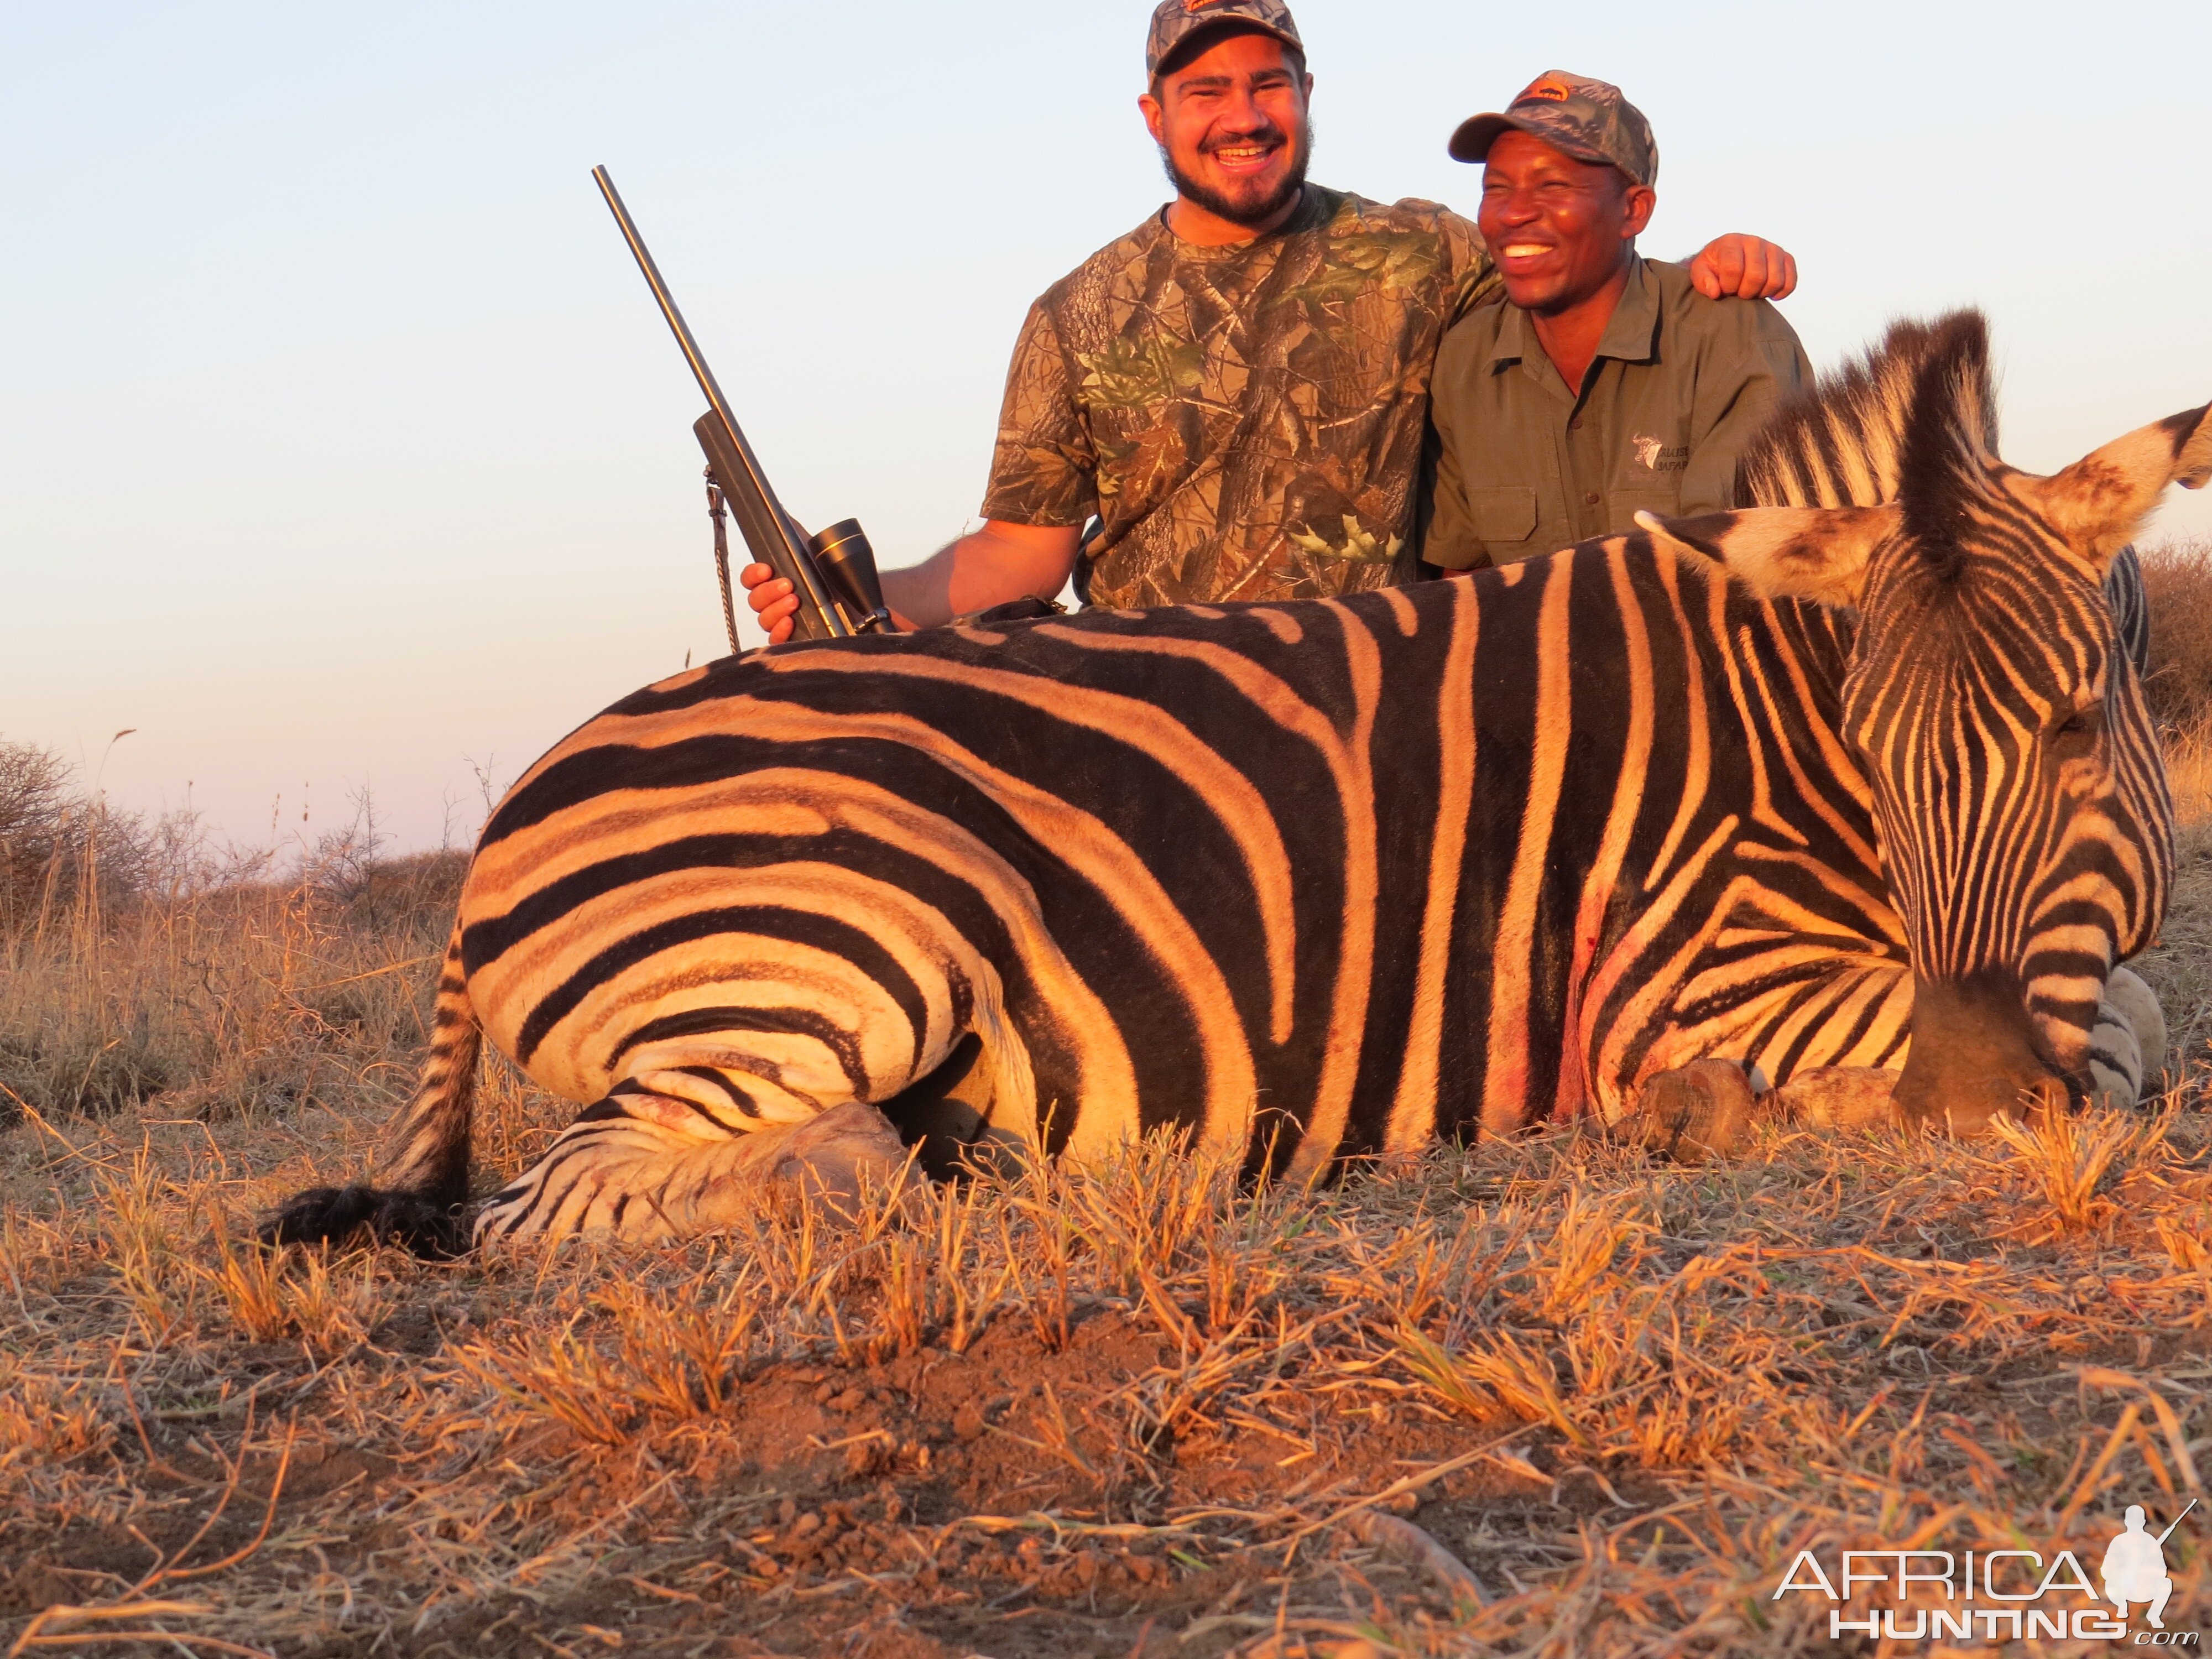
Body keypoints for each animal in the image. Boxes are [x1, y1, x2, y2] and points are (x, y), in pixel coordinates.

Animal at [272, 312, 2194, 1256]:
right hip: (852, 956)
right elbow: (2118, 1038)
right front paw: (1709, 1112)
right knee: (569, 1203)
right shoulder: (1691, 970)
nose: (1968, 1095)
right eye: (1878, 751)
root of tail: (505, 827)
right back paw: (919, 1177)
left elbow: (2132, 1014)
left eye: (2071, 731)